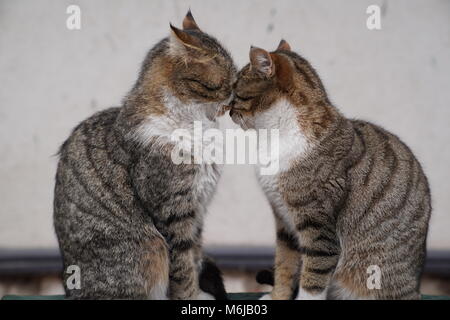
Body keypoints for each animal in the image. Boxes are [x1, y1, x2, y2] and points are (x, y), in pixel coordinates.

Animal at [53, 10, 236, 300]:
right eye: (227, 83)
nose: (232, 101)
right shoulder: (174, 214)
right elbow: (183, 269)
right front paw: (191, 298)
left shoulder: (197, 212)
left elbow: (195, 258)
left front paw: (200, 294)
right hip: (148, 250)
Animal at [230, 40, 430, 300]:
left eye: (236, 92)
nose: (227, 109)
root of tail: (415, 286)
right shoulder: (284, 223)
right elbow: (284, 265)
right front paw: (278, 296)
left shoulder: (318, 226)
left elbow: (312, 277)